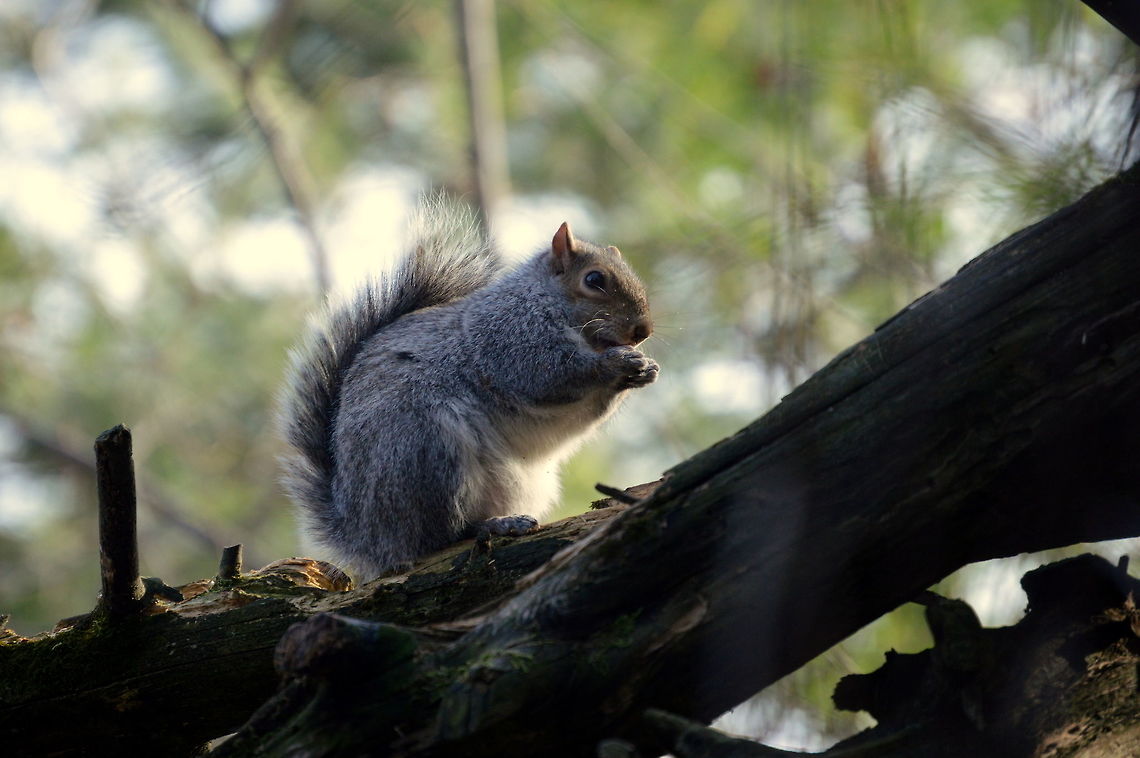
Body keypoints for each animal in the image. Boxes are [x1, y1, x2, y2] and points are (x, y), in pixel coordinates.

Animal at [278, 199, 658, 579]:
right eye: (594, 279)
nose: (643, 331)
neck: (544, 299)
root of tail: (365, 538)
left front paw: (644, 370)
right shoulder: (512, 337)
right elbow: (551, 374)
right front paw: (615, 363)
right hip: (427, 448)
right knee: (439, 537)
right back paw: (494, 525)